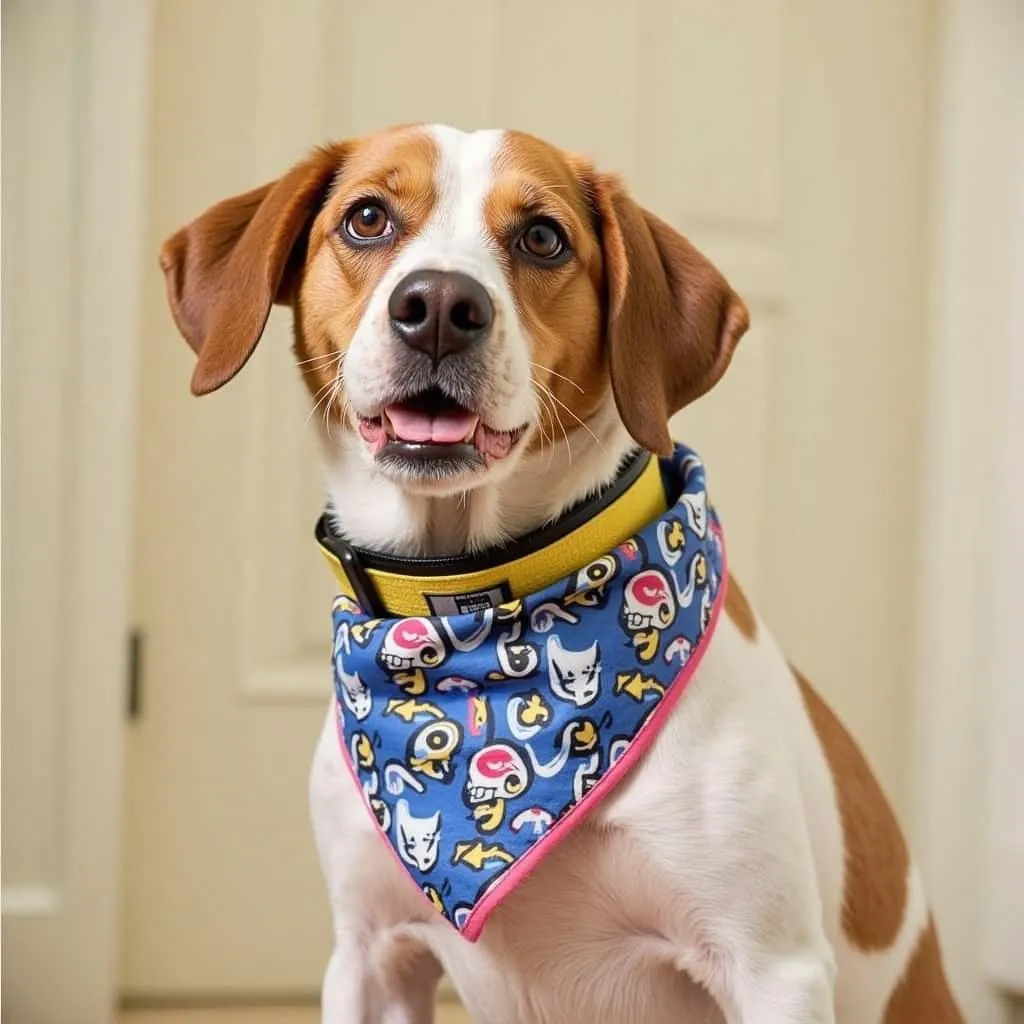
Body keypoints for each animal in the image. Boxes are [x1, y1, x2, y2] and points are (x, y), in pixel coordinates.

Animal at [157, 123, 958, 1019]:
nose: (439, 307)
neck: (469, 618)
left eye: (543, 237)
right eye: (367, 217)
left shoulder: (772, 966)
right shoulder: (370, 953)